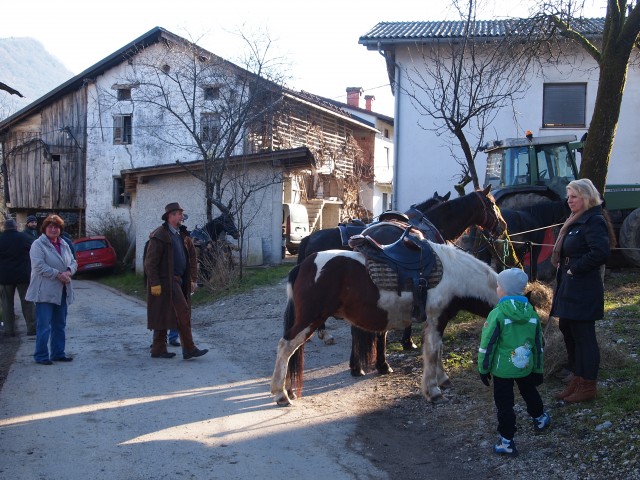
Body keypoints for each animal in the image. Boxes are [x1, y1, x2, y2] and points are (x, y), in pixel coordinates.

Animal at [268, 239, 502, 404]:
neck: (455, 274)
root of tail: (304, 265)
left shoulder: (436, 322)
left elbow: (438, 350)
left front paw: (442, 379)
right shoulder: (436, 319)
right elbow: (433, 352)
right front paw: (433, 391)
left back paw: (287, 391)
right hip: (310, 319)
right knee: (286, 346)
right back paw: (281, 395)